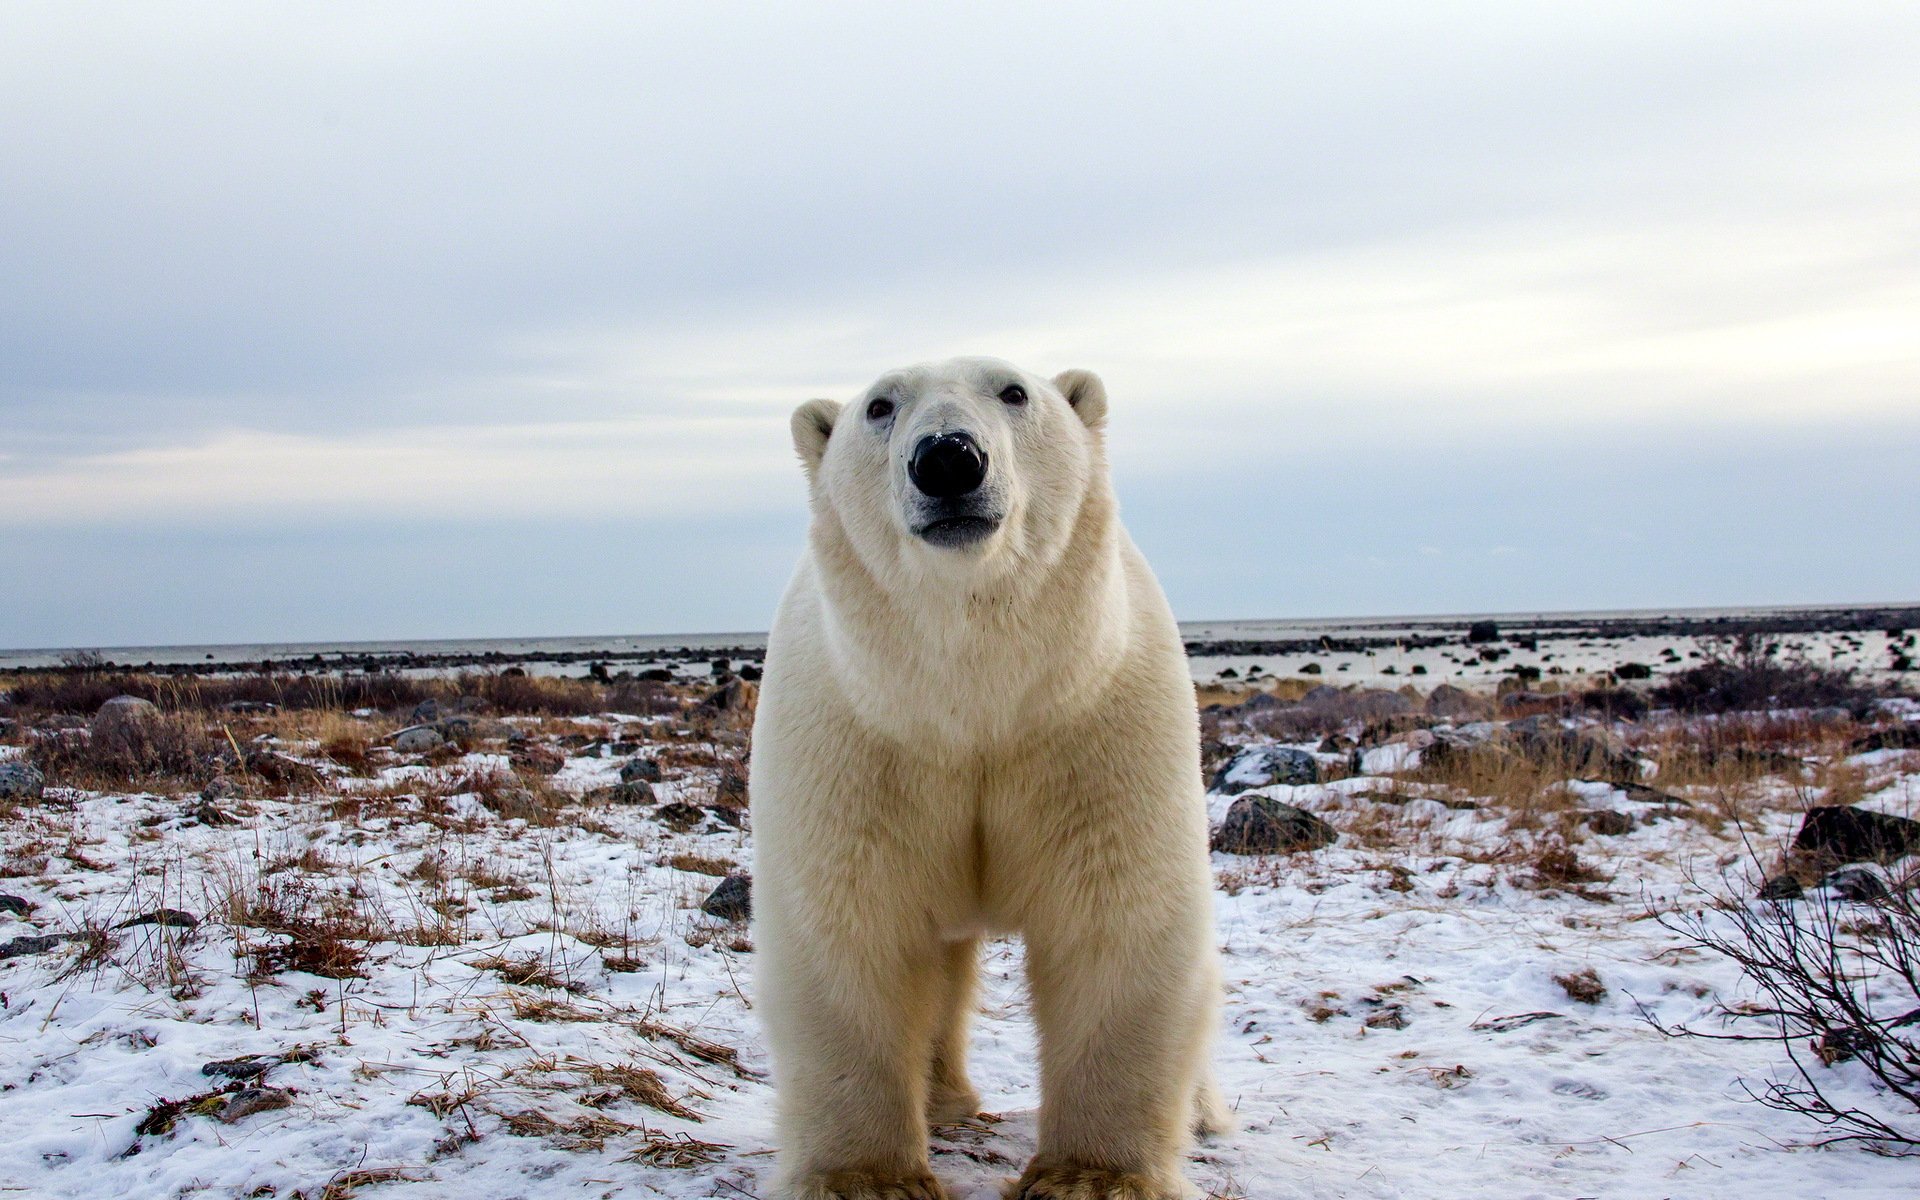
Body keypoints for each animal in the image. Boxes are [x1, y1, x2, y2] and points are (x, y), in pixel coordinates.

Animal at [750, 357, 1227, 1200]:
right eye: (879, 406)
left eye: (1014, 391)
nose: (948, 459)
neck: (973, 701)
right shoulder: (858, 741)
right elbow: (852, 926)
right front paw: (867, 1178)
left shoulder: (1093, 728)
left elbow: (1116, 920)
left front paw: (1089, 1177)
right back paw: (943, 1102)